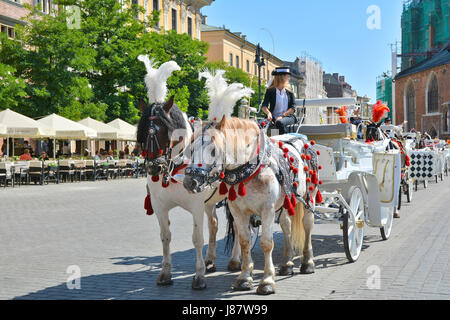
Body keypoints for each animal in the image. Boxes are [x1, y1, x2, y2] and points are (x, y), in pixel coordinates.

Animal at [183, 117, 320, 296]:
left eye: (213, 150)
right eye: (191, 149)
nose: (190, 182)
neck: (251, 169)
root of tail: (305, 140)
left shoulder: (267, 210)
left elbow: (266, 243)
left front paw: (267, 281)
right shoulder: (238, 212)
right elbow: (244, 242)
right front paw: (244, 278)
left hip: (309, 196)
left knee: (307, 225)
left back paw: (308, 262)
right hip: (283, 204)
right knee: (286, 227)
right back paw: (287, 264)